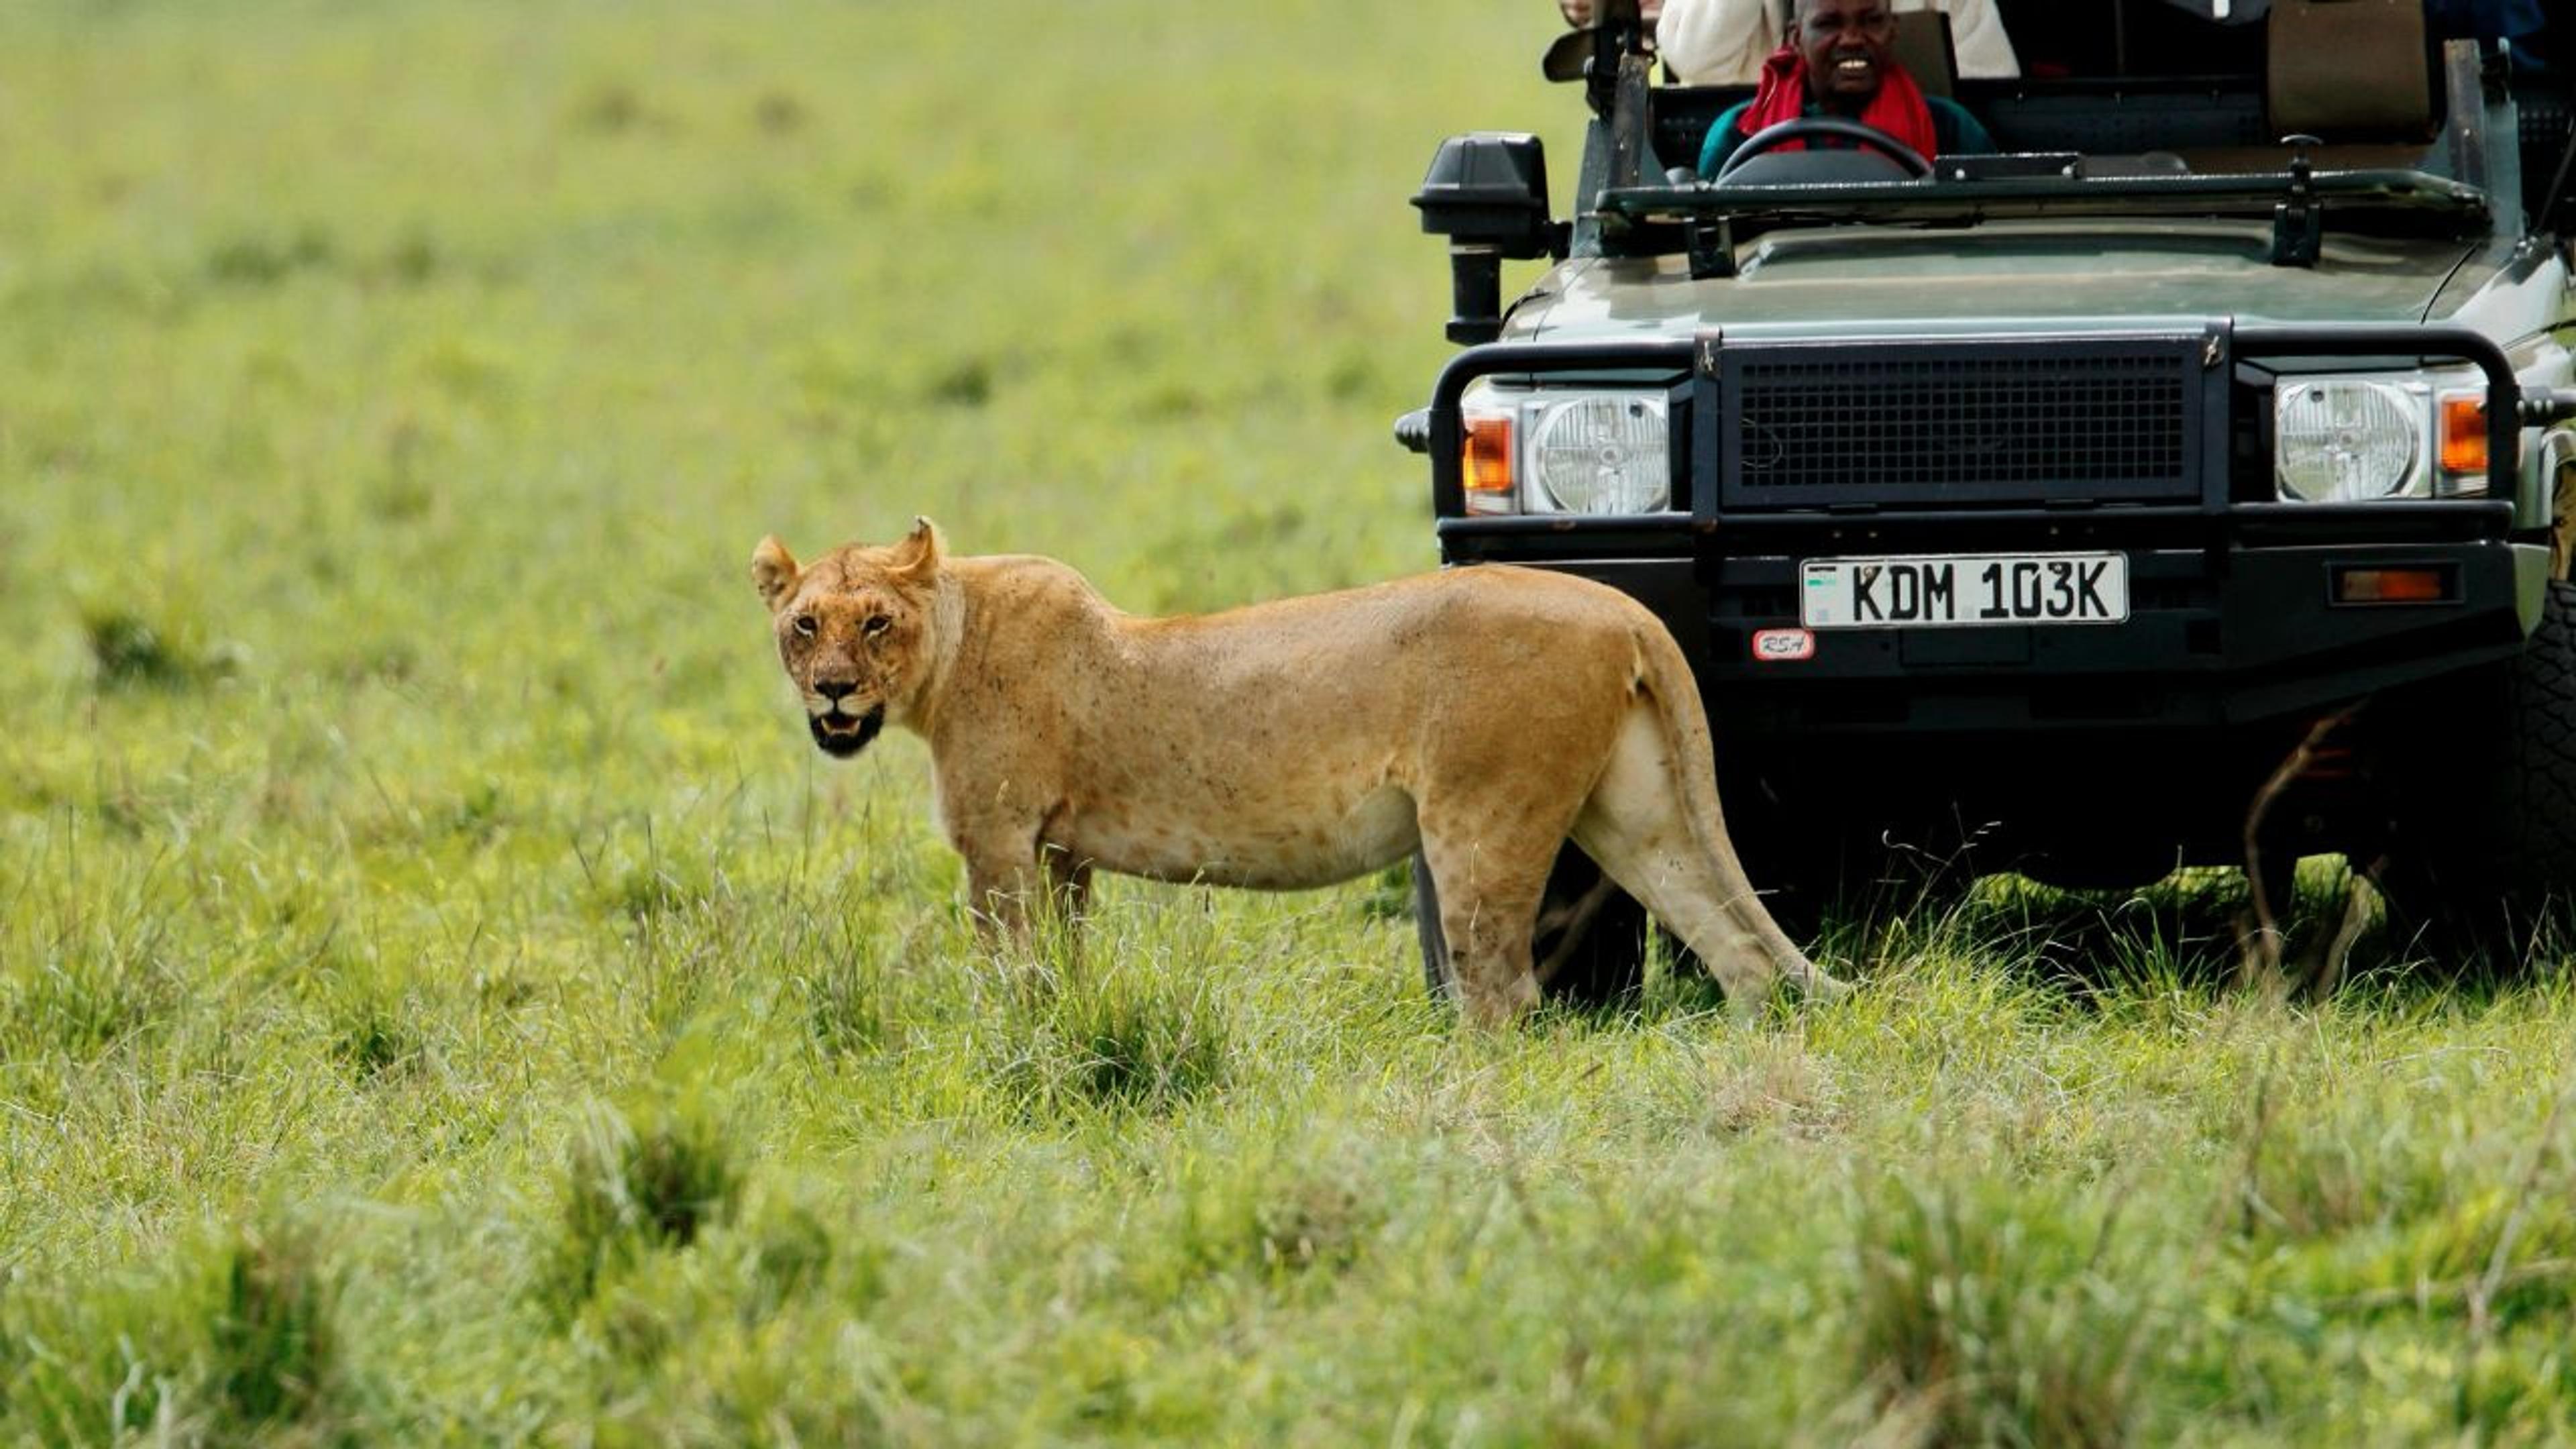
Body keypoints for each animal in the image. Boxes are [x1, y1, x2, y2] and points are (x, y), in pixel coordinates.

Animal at [751, 519, 1843, 1025]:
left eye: (875, 622)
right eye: (805, 624)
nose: (835, 691)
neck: (948, 648)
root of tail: (1625, 609)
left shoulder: (1000, 843)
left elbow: (1005, 973)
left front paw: (1004, 1046)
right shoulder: (1061, 852)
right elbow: (1061, 969)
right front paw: (1060, 1033)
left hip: (1481, 823)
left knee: (1501, 988)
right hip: (1638, 811)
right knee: (1738, 951)